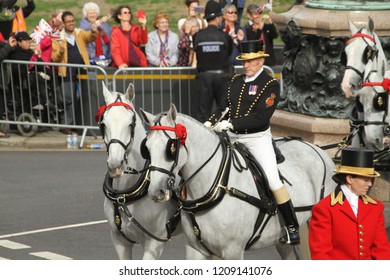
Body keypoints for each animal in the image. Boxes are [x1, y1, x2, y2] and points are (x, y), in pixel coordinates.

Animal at [139, 105, 336, 260]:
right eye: (146, 148)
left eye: (171, 147)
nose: (156, 191)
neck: (217, 184)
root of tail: (318, 150)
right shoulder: (195, 250)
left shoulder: (233, 251)